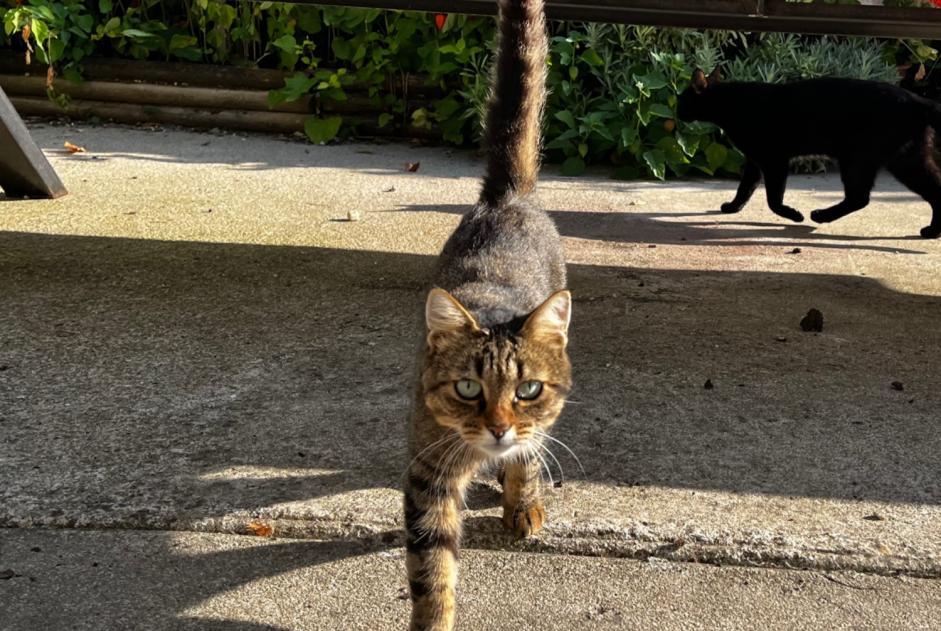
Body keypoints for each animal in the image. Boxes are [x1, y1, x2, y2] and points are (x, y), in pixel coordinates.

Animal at [400, 2, 568, 628]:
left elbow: (529, 453)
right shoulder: (427, 476)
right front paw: (435, 616)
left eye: (527, 389)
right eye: (468, 388)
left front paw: (524, 498)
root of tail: (504, 199)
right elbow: (432, 570)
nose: (498, 427)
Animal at [680, 68, 941, 238]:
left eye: (682, 100)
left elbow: (773, 199)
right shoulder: (755, 161)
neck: (731, 103)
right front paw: (733, 207)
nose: (677, 112)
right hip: (906, 161)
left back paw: (819, 215)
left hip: (858, 159)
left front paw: (793, 215)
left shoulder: (774, 159)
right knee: (932, 190)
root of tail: (918, 100)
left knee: (859, 197)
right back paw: (932, 232)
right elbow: (745, 188)